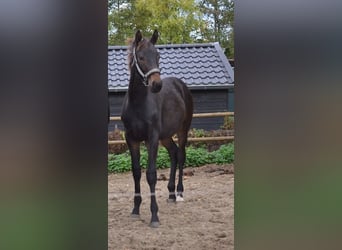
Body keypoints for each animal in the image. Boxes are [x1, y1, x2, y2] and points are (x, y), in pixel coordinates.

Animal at [121, 30, 194, 228]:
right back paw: (170, 194)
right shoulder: (132, 139)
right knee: (174, 154)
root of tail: (181, 85)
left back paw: (179, 193)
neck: (138, 104)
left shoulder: (152, 138)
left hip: (182, 130)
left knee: (181, 155)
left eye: (158, 56)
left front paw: (154, 216)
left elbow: (151, 175)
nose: (157, 85)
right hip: (166, 137)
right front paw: (135, 210)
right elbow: (136, 172)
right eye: (141, 57)